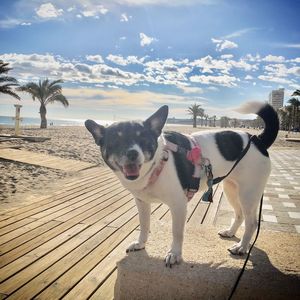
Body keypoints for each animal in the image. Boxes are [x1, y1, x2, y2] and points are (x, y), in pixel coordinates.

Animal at [85, 101, 280, 268]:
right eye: (115, 142)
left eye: (144, 140)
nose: (132, 153)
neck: (157, 164)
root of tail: (257, 139)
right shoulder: (142, 202)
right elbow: (144, 224)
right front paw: (141, 243)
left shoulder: (178, 205)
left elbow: (176, 232)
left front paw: (174, 254)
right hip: (232, 189)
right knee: (239, 215)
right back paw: (231, 232)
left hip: (248, 193)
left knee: (251, 222)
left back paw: (242, 246)